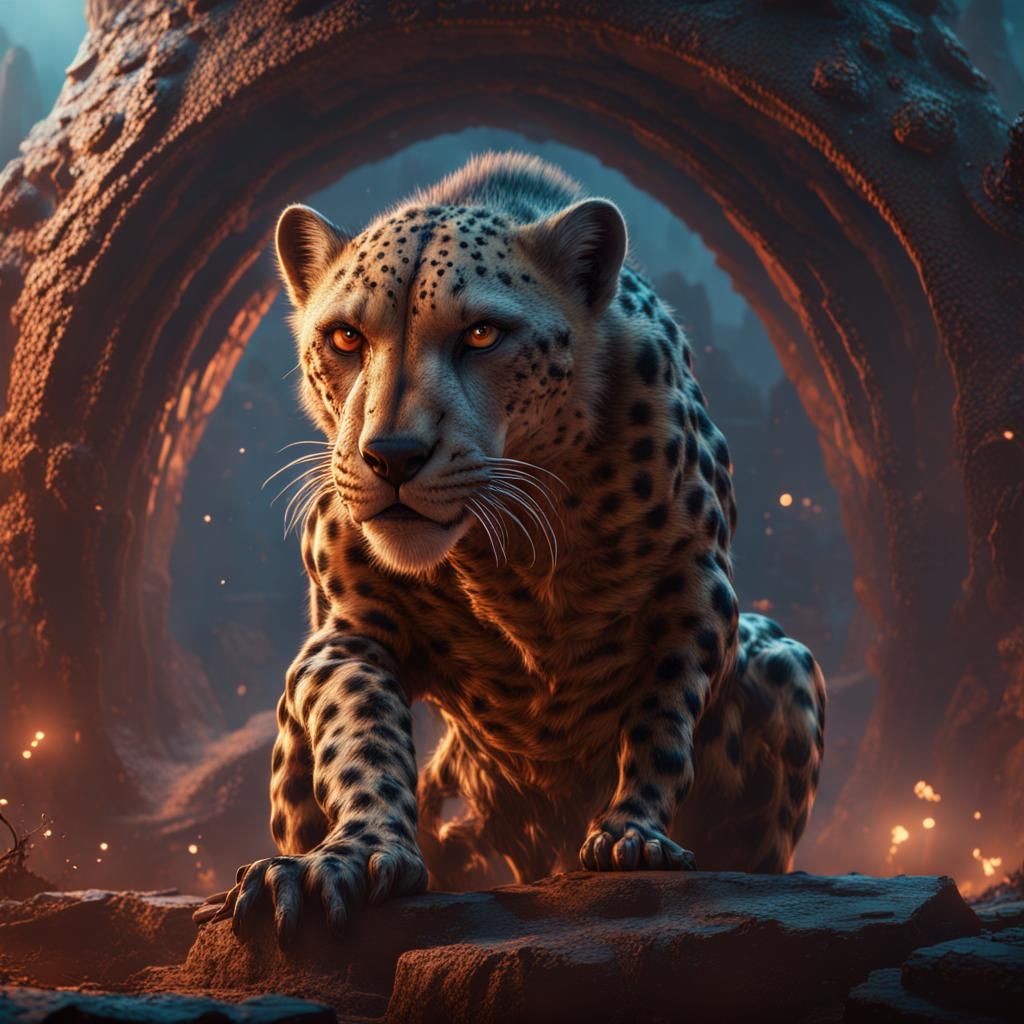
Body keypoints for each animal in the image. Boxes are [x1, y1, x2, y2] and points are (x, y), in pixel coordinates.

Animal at [196, 152, 826, 945]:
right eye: (344, 339)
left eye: (482, 335)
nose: (392, 456)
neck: (512, 552)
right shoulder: (348, 632)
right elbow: (361, 734)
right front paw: (353, 854)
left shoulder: (698, 597)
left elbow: (662, 721)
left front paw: (632, 833)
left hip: (783, 659)